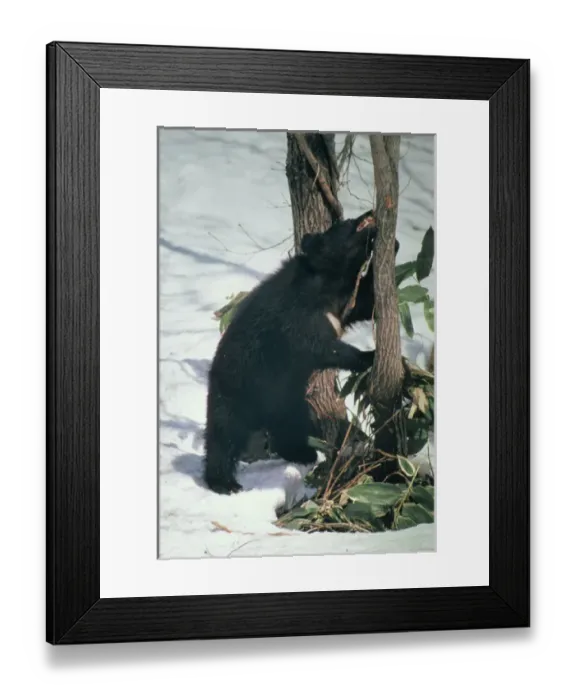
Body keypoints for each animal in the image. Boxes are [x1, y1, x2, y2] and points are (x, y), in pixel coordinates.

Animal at [202, 210, 391, 495]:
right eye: (346, 223)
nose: (369, 213)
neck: (327, 281)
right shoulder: (298, 314)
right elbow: (319, 345)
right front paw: (368, 356)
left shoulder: (342, 303)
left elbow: (365, 303)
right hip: (234, 392)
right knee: (223, 435)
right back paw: (224, 482)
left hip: (289, 401)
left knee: (291, 428)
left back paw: (301, 453)